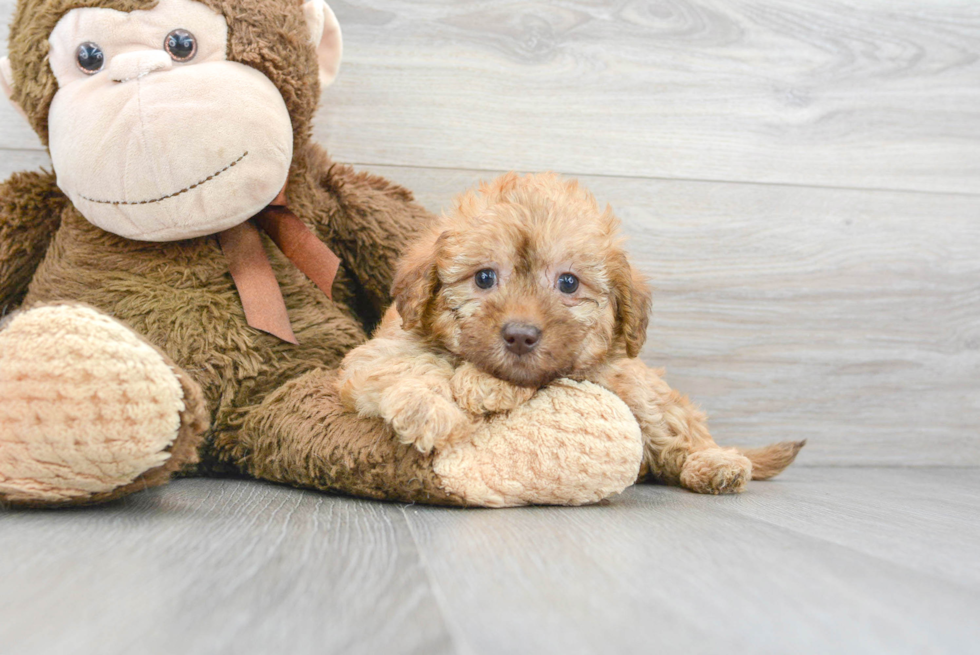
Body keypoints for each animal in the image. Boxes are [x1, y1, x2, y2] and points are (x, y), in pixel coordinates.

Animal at [336, 172, 804, 494]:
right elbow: (406, 364)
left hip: (646, 392)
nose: (520, 335)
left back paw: (716, 464)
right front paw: (430, 409)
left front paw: (482, 386)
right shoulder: (381, 351)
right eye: (484, 277)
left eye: (568, 283)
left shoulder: (607, 371)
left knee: (678, 430)